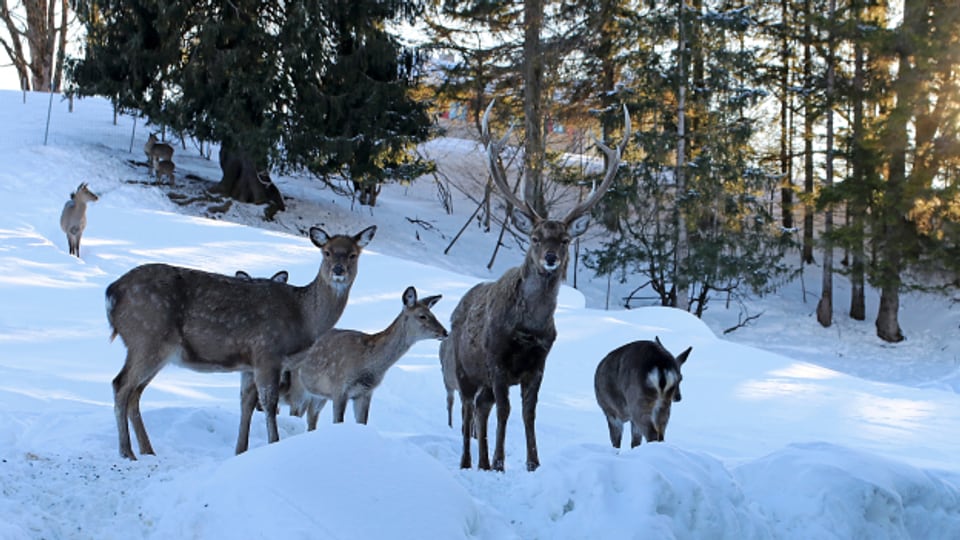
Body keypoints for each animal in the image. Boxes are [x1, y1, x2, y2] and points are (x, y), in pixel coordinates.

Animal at [105, 225, 376, 460]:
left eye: (353, 254)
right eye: (326, 251)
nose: (338, 270)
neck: (303, 317)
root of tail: (112, 293)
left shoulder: (249, 363)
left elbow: (246, 405)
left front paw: (239, 452)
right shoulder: (267, 352)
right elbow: (269, 404)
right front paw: (273, 444)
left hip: (157, 349)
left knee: (135, 392)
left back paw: (147, 450)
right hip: (146, 337)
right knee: (121, 385)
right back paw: (126, 452)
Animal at [282, 284, 450, 428]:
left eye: (433, 314)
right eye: (422, 316)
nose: (445, 332)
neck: (367, 365)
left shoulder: (365, 393)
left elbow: (362, 423)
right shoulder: (339, 386)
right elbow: (338, 421)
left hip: (318, 394)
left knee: (310, 418)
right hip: (298, 387)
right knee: (295, 414)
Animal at [440, 101, 632, 472]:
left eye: (566, 239)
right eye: (534, 237)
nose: (551, 258)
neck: (528, 329)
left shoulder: (538, 365)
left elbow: (528, 413)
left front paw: (532, 462)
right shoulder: (496, 360)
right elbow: (505, 410)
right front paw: (501, 462)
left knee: (481, 409)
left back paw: (482, 462)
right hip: (463, 367)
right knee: (469, 410)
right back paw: (469, 461)